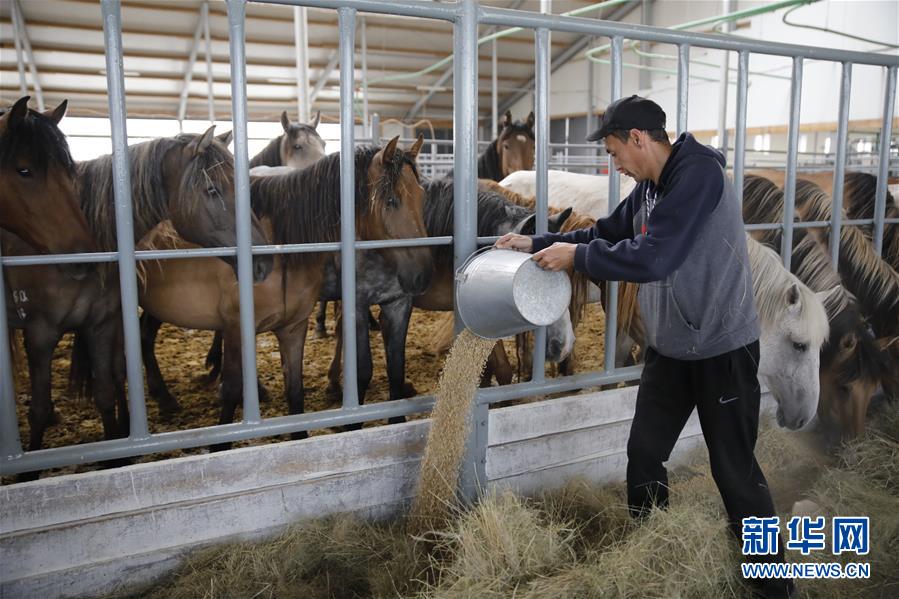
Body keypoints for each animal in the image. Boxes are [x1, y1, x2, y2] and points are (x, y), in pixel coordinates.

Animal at [5, 127, 272, 474]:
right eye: (212, 189)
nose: (263, 262)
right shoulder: (40, 333)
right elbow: (38, 407)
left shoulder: (103, 321)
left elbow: (108, 386)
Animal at [134, 138, 432, 448]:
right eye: (391, 201)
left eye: (422, 197)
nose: (422, 275)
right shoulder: (357, 306)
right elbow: (362, 371)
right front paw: (351, 423)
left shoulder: (397, 305)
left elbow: (395, 370)